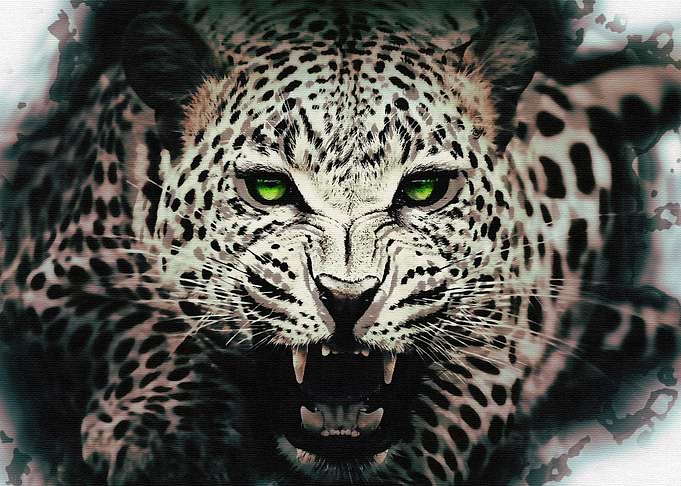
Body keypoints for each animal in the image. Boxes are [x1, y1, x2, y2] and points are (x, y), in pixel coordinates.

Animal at [1, 0, 681, 484]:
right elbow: (147, 324)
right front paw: (167, 443)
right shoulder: (51, 272)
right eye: (269, 189)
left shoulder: (508, 312)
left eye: (425, 188)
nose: (348, 298)